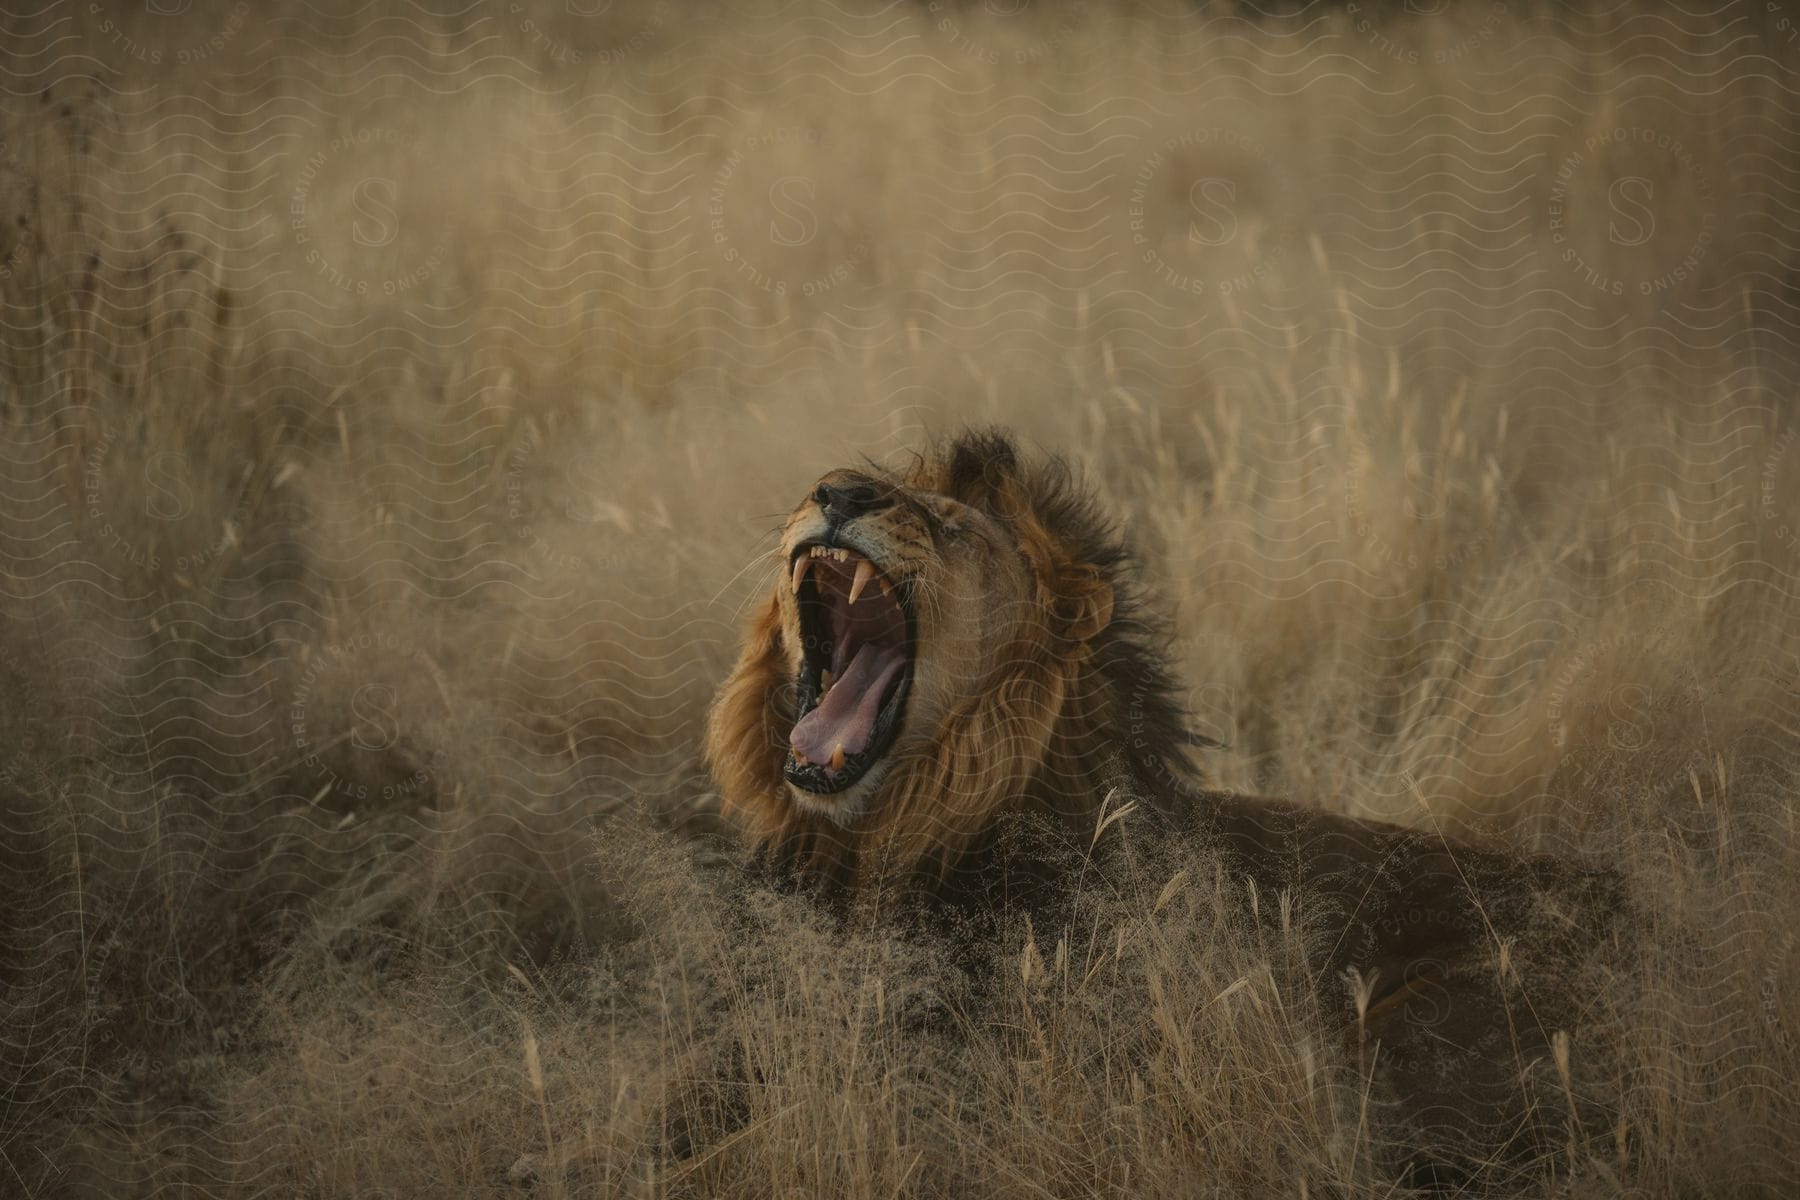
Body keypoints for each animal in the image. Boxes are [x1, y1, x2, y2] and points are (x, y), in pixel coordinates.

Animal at [705, 426, 1634, 1187]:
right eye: (839, 485)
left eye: (951, 525)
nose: (838, 492)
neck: (880, 841)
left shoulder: (968, 1085)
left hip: (1414, 1028)